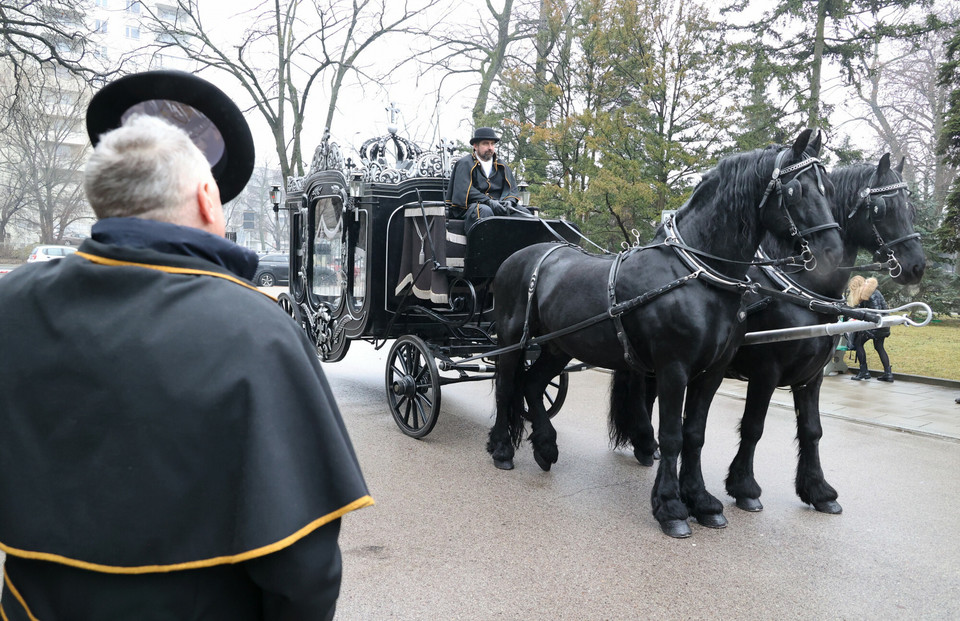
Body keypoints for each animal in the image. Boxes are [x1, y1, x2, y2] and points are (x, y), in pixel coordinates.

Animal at [488, 128, 840, 536]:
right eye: (796, 189)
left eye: (829, 188)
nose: (830, 255)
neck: (699, 273)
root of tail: (520, 256)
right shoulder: (675, 368)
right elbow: (672, 435)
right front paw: (671, 506)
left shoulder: (713, 371)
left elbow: (695, 434)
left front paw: (701, 501)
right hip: (511, 339)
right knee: (507, 386)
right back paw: (501, 449)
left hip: (559, 345)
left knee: (532, 383)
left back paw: (545, 448)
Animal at [612, 153, 928, 516]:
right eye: (880, 208)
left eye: (911, 208)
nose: (917, 266)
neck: (800, 286)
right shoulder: (766, 371)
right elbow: (753, 427)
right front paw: (744, 487)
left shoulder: (812, 375)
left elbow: (812, 430)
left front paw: (818, 490)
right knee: (643, 394)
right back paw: (645, 443)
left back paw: (646, 445)